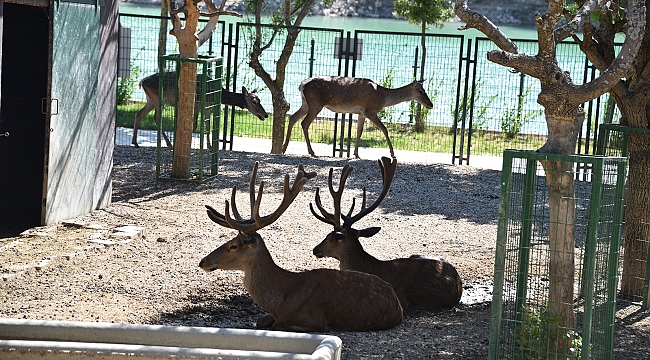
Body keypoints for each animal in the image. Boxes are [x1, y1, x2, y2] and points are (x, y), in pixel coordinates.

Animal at [132, 71, 266, 148]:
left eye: (260, 99)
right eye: (254, 102)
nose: (265, 115)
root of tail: (141, 82)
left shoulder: (208, 108)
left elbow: (208, 126)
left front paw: (210, 146)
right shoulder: (197, 105)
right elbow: (195, 125)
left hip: (150, 99)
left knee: (139, 114)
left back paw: (135, 142)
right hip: (158, 99)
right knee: (156, 118)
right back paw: (169, 144)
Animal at [197, 162, 402, 330]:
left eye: (233, 246)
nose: (202, 261)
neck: (282, 298)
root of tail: (396, 300)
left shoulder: (314, 321)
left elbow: (277, 325)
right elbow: (261, 320)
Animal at [282, 76, 430, 159]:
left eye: (425, 90)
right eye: (420, 91)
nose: (431, 104)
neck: (383, 97)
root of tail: (301, 85)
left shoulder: (361, 113)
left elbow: (359, 132)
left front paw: (357, 154)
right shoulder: (370, 111)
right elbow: (384, 129)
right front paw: (392, 153)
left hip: (306, 104)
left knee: (293, 118)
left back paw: (284, 148)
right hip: (315, 104)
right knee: (304, 123)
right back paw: (311, 152)